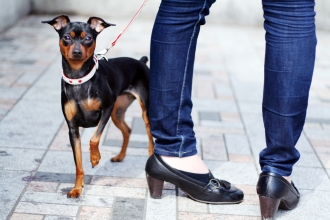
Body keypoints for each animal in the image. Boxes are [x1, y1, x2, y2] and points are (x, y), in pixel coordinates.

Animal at [42, 15, 154, 198]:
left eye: (88, 38)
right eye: (66, 37)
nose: (77, 52)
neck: (79, 79)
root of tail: (141, 61)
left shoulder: (107, 108)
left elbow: (94, 138)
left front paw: (95, 158)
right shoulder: (72, 128)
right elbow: (78, 164)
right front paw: (77, 188)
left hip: (144, 112)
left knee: (151, 138)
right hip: (117, 112)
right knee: (127, 130)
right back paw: (120, 156)